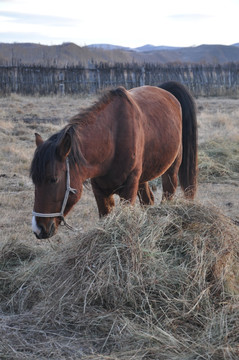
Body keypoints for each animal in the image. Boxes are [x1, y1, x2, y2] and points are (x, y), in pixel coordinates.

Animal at [30, 81, 198, 239]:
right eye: (34, 181)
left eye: (54, 179)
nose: (38, 229)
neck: (113, 140)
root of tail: (166, 92)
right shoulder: (100, 191)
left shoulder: (128, 189)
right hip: (142, 178)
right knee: (148, 201)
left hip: (171, 171)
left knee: (168, 195)